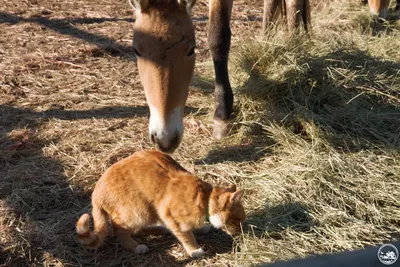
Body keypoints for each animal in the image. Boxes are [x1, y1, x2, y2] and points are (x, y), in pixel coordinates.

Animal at [74, 151, 244, 258]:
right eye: (236, 220)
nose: (239, 232)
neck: (204, 198)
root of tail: (96, 193)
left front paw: (201, 228)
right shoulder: (171, 216)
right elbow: (186, 236)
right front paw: (195, 250)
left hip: (146, 213)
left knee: (136, 230)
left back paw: (159, 229)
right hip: (138, 211)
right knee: (119, 229)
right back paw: (136, 246)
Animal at [131, 0, 310, 154]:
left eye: (191, 50)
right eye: (136, 51)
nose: (165, 139)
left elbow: (218, 37)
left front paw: (222, 115)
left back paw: (295, 42)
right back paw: (267, 41)